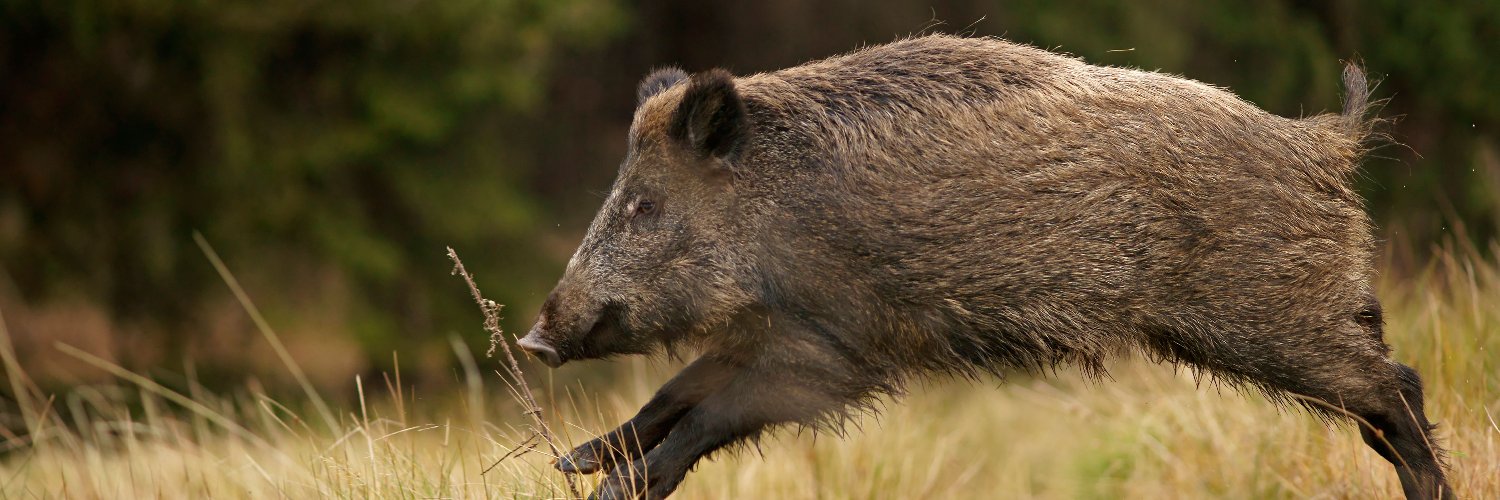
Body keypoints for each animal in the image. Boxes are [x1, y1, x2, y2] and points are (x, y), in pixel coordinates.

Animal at [518, 35, 1451, 499]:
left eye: (644, 206)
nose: (534, 338)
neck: (773, 208)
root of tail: (1325, 141)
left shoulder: (840, 350)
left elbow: (709, 416)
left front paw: (609, 489)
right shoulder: (775, 332)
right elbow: (673, 394)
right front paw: (575, 464)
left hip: (1269, 312)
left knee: (1393, 385)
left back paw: (1435, 487)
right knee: (1385, 391)